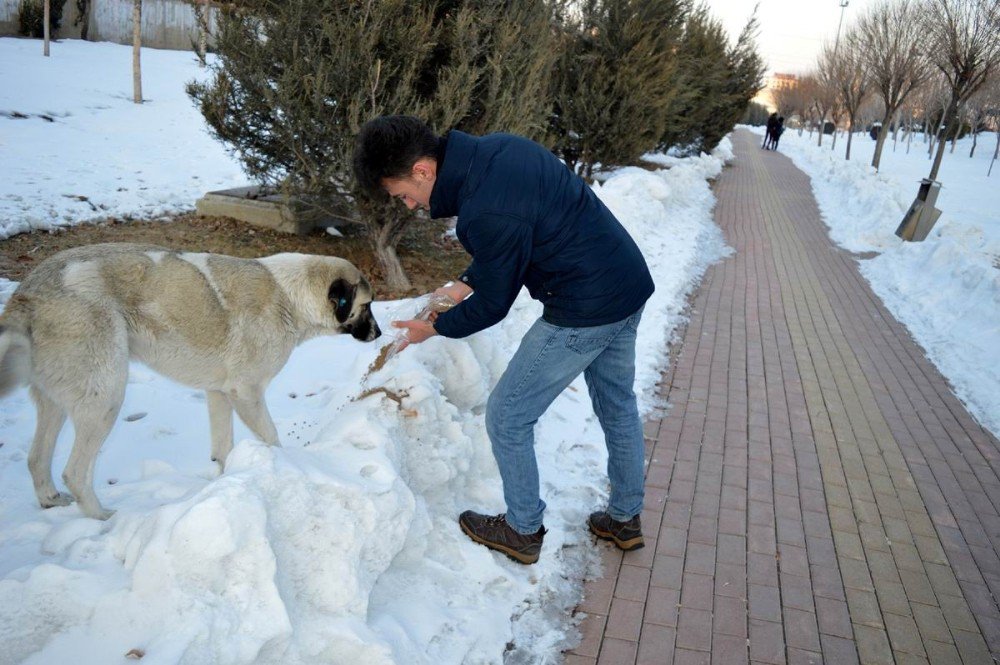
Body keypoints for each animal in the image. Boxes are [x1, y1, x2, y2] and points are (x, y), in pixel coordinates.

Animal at [0, 244, 380, 520]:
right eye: (367, 306)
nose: (379, 333)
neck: (290, 296)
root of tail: (28, 290)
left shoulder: (219, 393)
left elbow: (223, 449)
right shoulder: (247, 393)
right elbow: (271, 438)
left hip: (56, 403)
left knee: (36, 458)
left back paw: (51, 501)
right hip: (105, 399)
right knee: (75, 472)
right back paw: (103, 518)